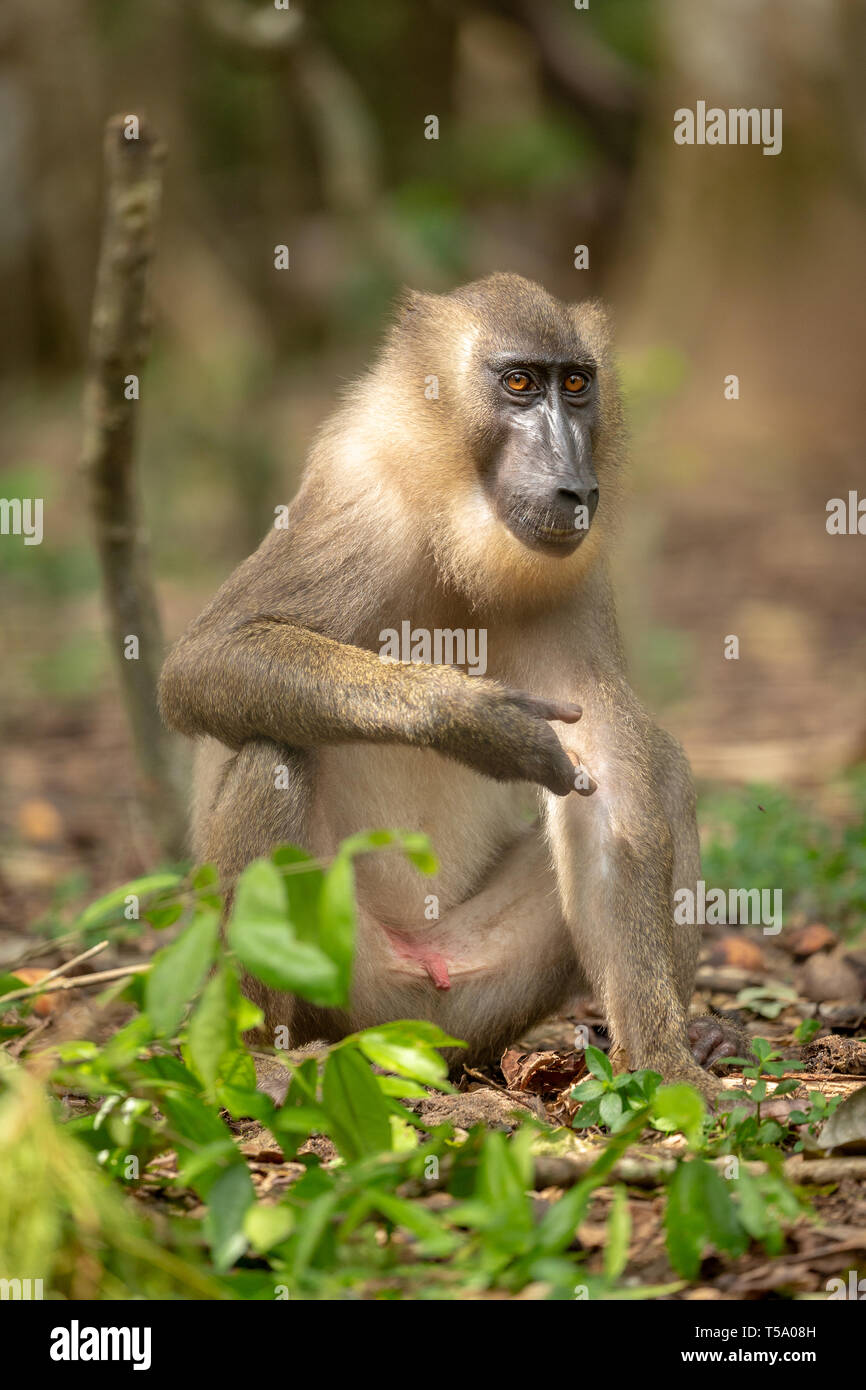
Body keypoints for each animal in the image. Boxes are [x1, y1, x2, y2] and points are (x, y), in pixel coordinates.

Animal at [159, 271, 739, 1095]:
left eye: (577, 384)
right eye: (520, 384)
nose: (574, 485)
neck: (454, 521)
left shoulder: (571, 575)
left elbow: (614, 780)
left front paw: (665, 1065)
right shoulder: (360, 504)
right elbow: (203, 662)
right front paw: (470, 719)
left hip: (479, 990)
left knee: (669, 769)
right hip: (348, 978)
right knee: (273, 752)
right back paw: (257, 1059)